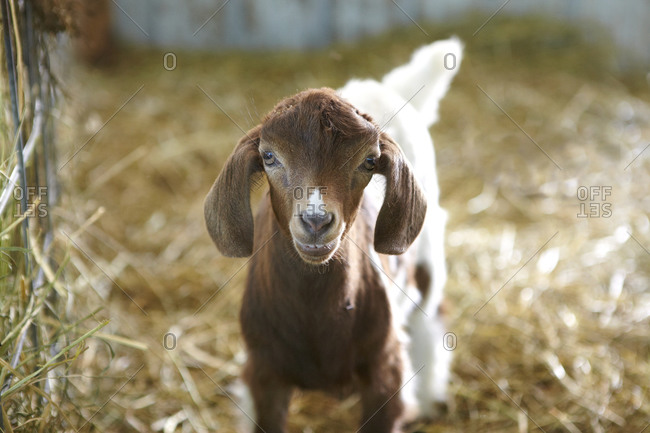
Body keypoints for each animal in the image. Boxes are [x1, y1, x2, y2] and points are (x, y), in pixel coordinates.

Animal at [204, 38, 463, 433]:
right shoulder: (263, 373)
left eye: (369, 162)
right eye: (269, 156)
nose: (315, 220)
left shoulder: (385, 370)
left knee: (430, 317)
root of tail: (383, 86)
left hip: (428, 249)